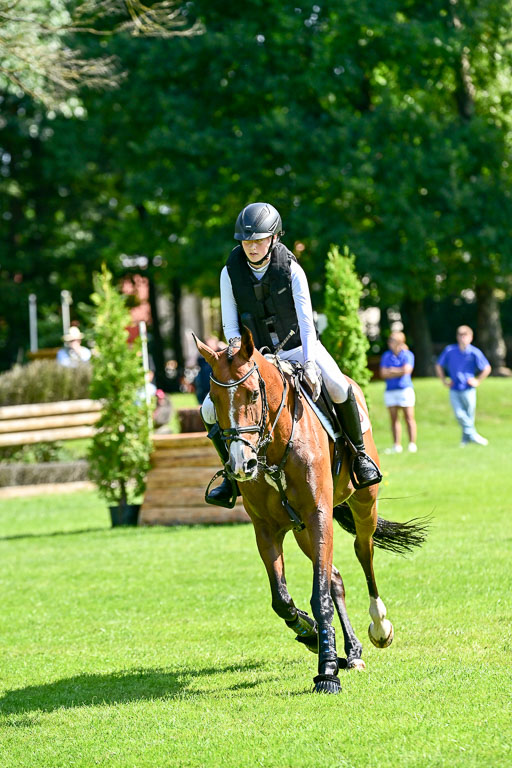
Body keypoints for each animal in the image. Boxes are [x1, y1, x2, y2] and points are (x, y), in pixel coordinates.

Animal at [194, 328, 428, 694]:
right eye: (214, 401)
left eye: (252, 394)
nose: (241, 465)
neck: (275, 447)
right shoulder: (266, 528)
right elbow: (282, 599)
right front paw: (310, 633)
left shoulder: (319, 515)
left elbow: (319, 597)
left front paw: (327, 671)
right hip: (302, 529)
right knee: (336, 578)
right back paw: (351, 650)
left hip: (363, 504)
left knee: (364, 551)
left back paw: (378, 626)